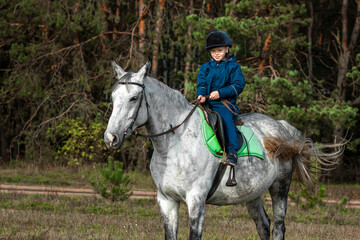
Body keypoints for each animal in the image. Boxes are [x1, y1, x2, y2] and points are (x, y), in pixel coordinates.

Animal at [105, 62, 344, 240]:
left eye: (134, 98)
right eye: (113, 97)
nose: (111, 138)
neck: (173, 146)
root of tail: (282, 127)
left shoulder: (196, 201)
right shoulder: (166, 201)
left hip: (280, 188)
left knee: (278, 227)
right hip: (253, 194)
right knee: (263, 226)